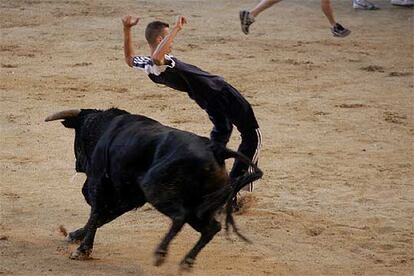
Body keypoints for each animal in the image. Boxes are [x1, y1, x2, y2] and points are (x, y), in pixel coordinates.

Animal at [45, 108, 264, 270]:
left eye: (78, 139)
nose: (77, 165)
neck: (104, 127)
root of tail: (216, 150)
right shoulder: (129, 198)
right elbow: (102, 217)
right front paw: (74, 236)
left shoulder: (99, 184)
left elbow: (96, 214)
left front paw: (82, 250)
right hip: (200, 206)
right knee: (211, 227)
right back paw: (186, 262)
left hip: (156, 190)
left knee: (179, 217)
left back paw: (161, 253)